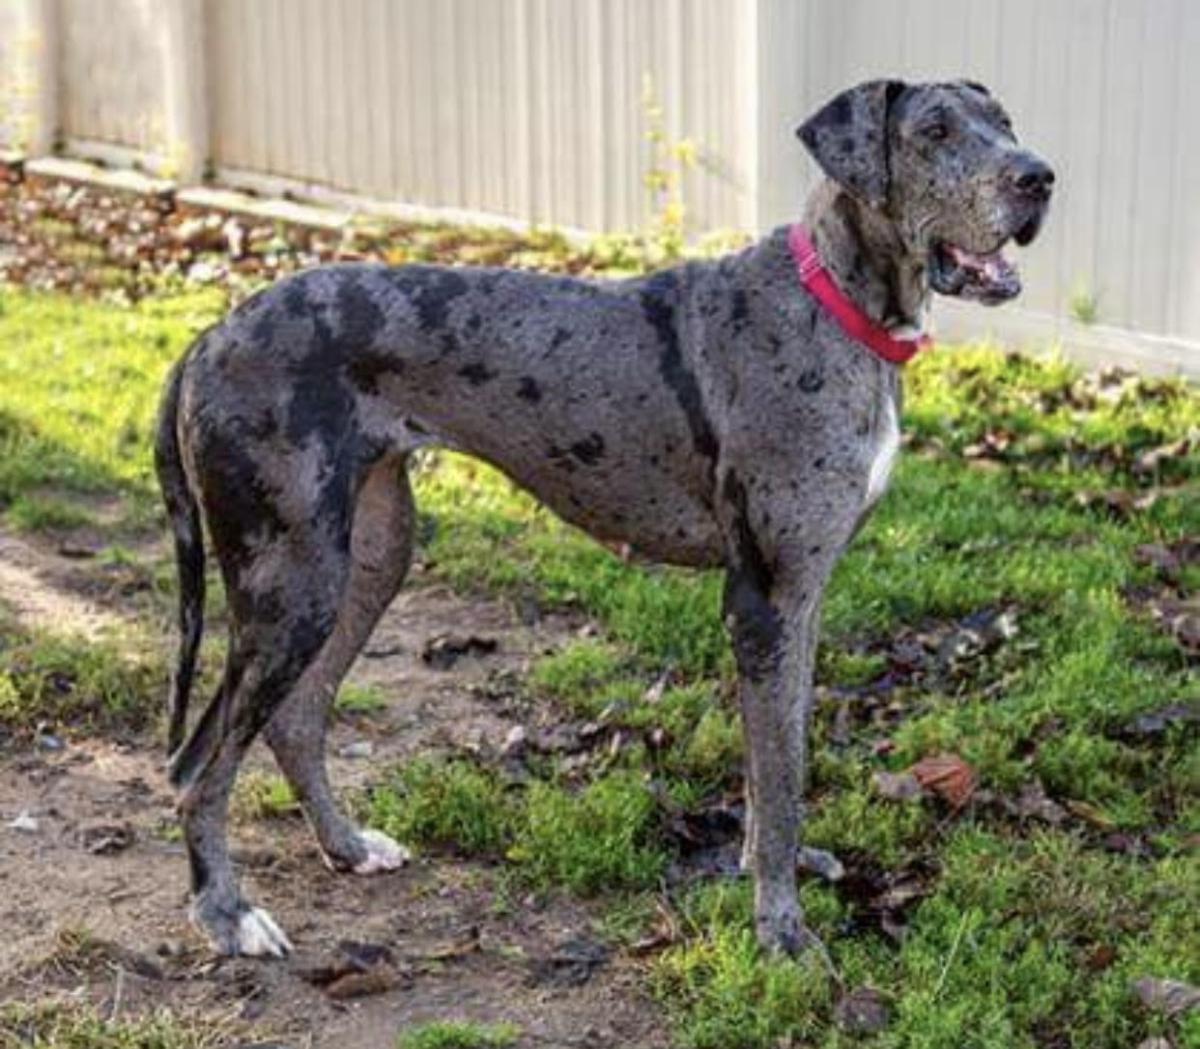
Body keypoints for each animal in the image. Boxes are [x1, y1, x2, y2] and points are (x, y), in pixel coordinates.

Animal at [157, 77, 1051, 950]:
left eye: (1005, 120)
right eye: (934, 131)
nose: (1038, 176)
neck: (834, 302)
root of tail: (211, 335)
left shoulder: (802, 599)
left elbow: (784, 758)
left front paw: (780, 870)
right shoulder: (765, 598)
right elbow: (778, 774)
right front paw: (781, 932)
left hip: (367, 558)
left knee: (297, 718)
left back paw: (345, 846)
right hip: (291, 583)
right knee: (198, 761)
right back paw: (225, 914)